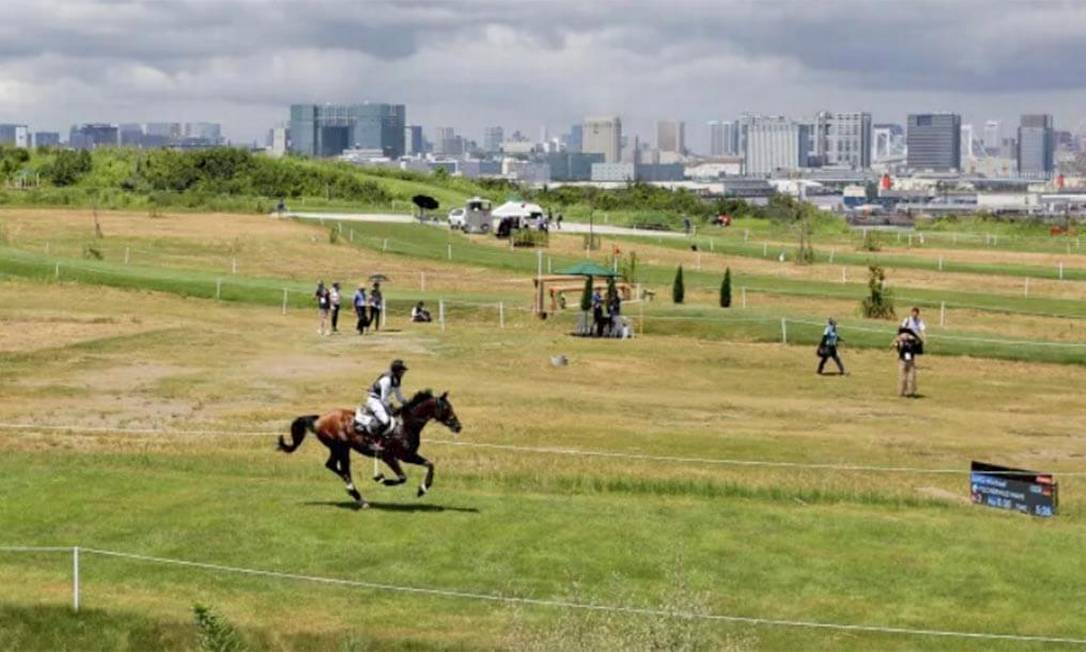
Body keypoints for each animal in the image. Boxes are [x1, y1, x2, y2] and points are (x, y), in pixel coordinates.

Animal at [278, 386, 460, 508]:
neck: (405, 425)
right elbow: (402, 477)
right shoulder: (390, 456)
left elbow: (429, 464)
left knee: (334, 466)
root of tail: (320, 418)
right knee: (339, 467)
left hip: (341, 448)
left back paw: (357, 496)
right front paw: (383, 479)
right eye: (446, 408)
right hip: (340, 447)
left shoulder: (408, 455)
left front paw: (423, 489)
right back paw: (355, 493)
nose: (458, 426)